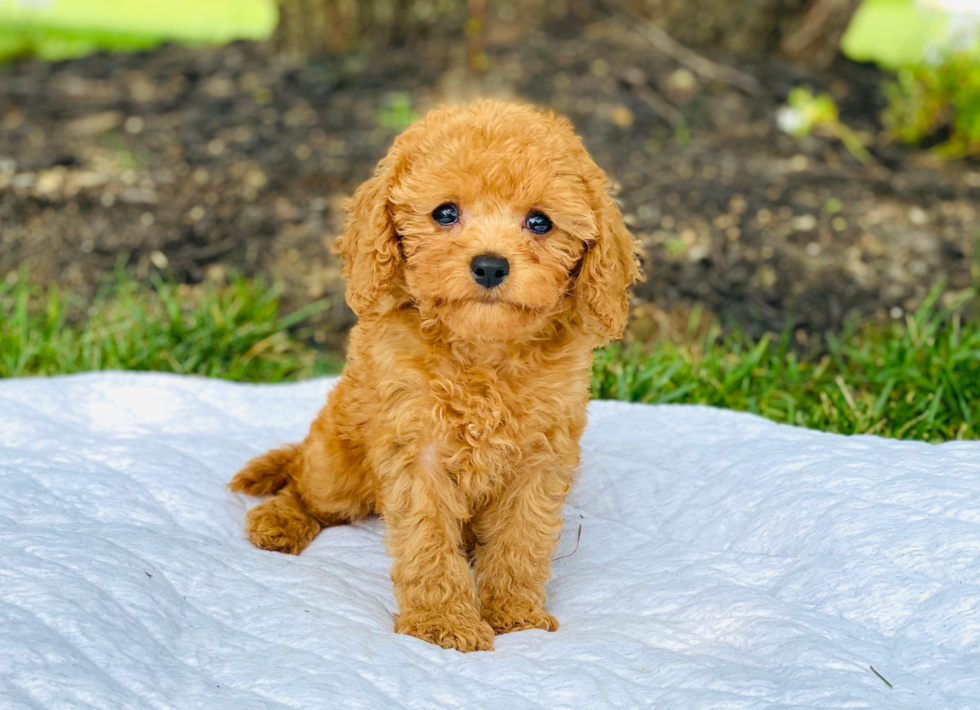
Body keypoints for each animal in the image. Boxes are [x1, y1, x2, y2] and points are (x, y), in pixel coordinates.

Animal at [230, 101, 644, 656]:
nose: (489, 266)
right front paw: (443, 623)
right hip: (336, 469)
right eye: (444, 213)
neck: (483, 353)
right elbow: (427, 542)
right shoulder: (417, 450)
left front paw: (515, 614)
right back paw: (279, 519)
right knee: (305, 488)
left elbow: (522, 539)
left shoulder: (540, 458)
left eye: (540, 222)